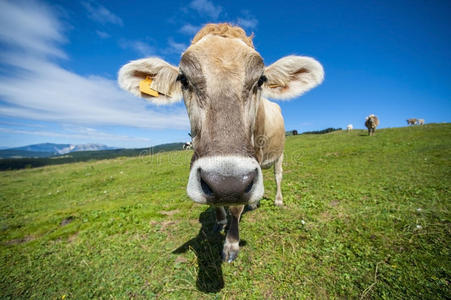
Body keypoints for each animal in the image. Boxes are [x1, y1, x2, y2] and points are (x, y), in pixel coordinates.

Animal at [115, 24, 324, 262]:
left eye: (261, 80)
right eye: (183, 79)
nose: (227, 182)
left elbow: (236, 208)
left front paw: (231, 243)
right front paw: (221, 220)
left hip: (279, 153)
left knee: (278, 175)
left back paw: (278, 200)